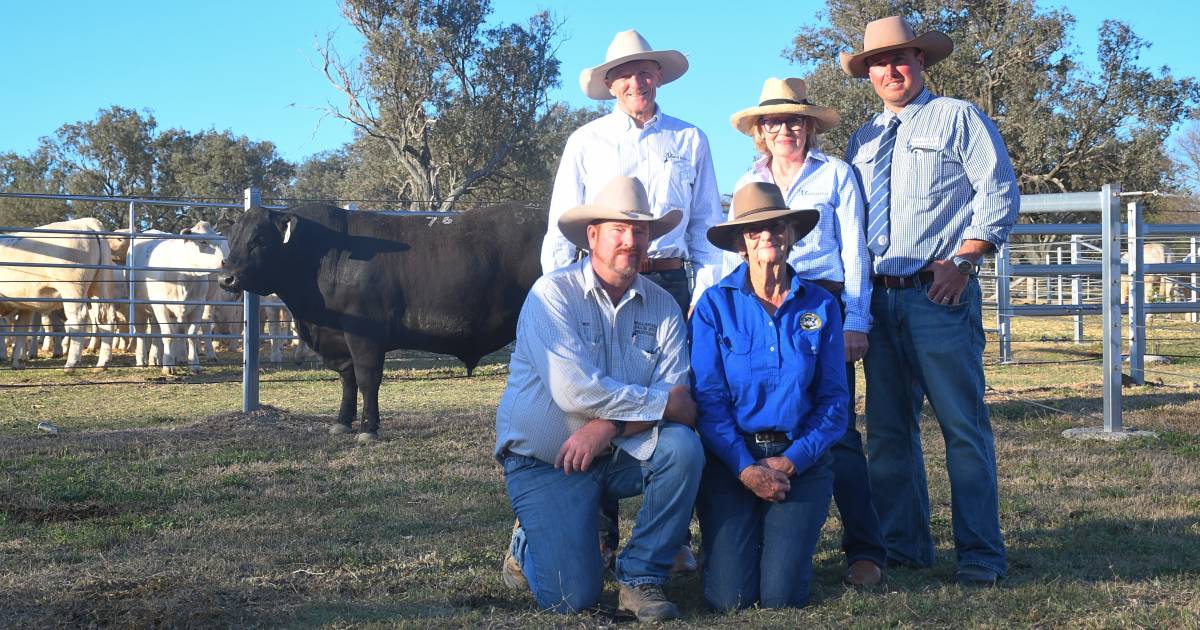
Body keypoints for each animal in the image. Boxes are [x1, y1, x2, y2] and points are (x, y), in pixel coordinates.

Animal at [0, 218, 120, 372]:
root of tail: (85, 222)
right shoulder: (24, 305)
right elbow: (21, 329)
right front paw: (18, 361)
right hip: (98, 289)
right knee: (106, 320)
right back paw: (102, 364)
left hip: (72, 289)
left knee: (78, 319)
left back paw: (71, 364)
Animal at [218, 204, 547, 439]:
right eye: (232, 240)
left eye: (259, 239)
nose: (226, 278)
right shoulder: (338, 340)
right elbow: (348, 379)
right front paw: (342, 422)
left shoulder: (365, 336)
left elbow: (367, 379)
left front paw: (368, 428)